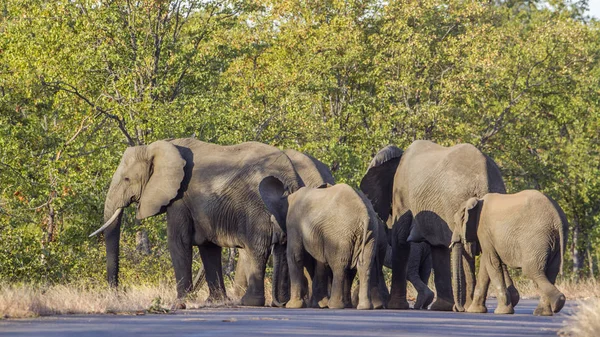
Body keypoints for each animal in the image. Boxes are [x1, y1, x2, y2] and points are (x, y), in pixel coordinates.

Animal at [89, 137, 300, 308]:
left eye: (126, 179)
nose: (117, 294)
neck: (161, 147)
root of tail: (291, 178)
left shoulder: (180, 197)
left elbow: (177, 241)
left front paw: (181, 302)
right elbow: (208, 247)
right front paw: (215, 301)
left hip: (256, 207)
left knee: (257, 249)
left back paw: (249, 302)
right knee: (284, 249)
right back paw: (283, 303)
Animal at [258, 178, 380, 310]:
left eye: (272, 222)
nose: (282, 303)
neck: (288, 197)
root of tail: (364, 216)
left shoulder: (293, 223)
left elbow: (295, 256)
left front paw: (293, 306)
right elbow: (319, 261)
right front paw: (319, 305)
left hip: (340, 234)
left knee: (339, 265)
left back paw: (335, 305)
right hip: (371, 233)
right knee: (365, 265)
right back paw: (364, 307)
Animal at [360, 139, 506, 310]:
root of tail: (483, 179)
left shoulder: (402, 193)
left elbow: (400, 239)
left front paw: (396, 306)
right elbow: (438, 248)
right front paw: (442, 307)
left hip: (455, 201)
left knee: (467, 247)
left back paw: (468, 307)